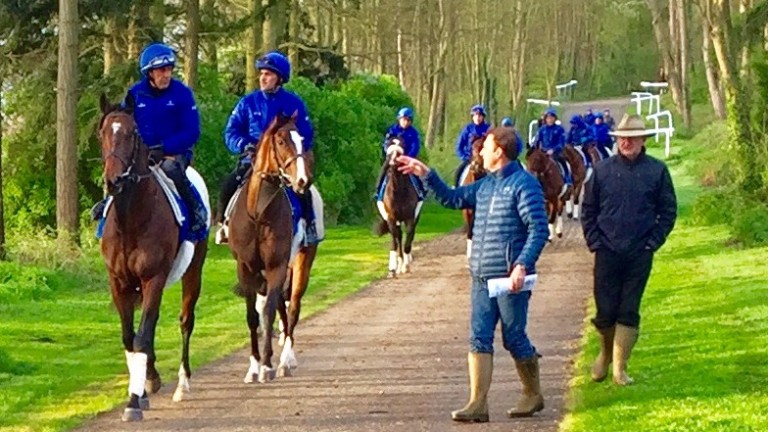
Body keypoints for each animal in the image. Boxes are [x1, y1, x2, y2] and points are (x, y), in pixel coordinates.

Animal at [96, 93, 210, 420]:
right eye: (102, 132)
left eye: (132, 132)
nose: (114, 180)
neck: (131, 220)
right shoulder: (119, 283)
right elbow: (130, 337)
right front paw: (143, 387)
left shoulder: (153, 278)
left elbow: (143, 336)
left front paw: (134, 400)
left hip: (193, 271)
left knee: (185, 320)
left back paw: (182, 385)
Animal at [225, 112, 318, 382]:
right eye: (280, 141)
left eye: (302, 139)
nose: (303, 181)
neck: (259, 214)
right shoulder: (246, 268)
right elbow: (253, 316)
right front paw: (254, 366)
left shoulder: (277, 264)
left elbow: (268, 313)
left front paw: (267, 365)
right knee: (280, 307)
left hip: (300, 262)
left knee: (293, 307)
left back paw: (286, 360)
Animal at [376, 134, 424, 276]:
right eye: (389, 146)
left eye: (400, 149)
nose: (392, 162)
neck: (398, 191)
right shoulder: (391, 219)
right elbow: (395, 242)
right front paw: (393, 268)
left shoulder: (410, 218)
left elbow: (408, 240)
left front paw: (406, 265)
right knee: (398, 238)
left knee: (408, 237)